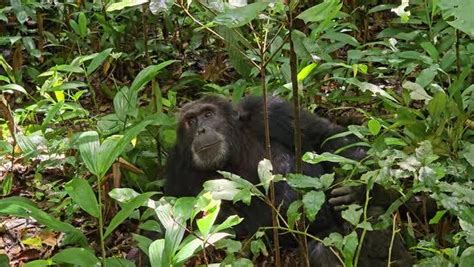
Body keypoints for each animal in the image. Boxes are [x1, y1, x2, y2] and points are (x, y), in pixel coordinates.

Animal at [165, 95, 412, 266]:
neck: (231, 154)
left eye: (208, 114)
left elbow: (324, 136)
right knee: (323, 250)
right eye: (190, 120)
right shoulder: (177, 172)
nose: (201, 130)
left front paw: (358, 189)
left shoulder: (269, 111)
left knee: (371, 214)